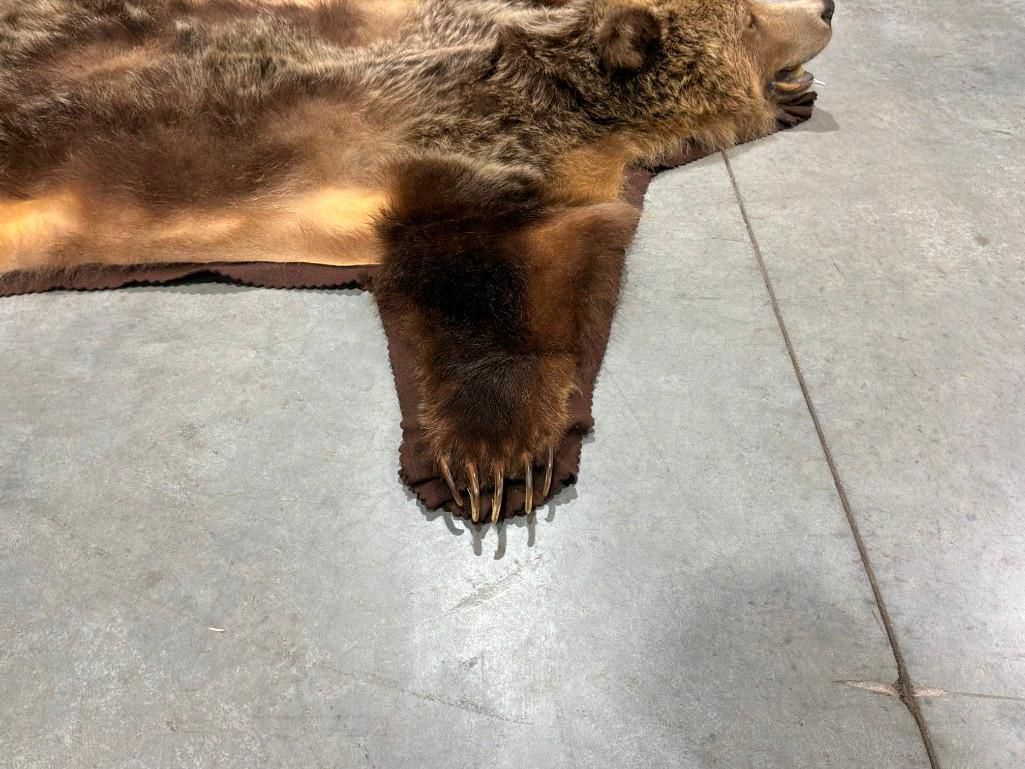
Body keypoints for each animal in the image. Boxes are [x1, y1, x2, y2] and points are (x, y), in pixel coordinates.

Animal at [0, 0, 833, 521]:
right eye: (749, 19)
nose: (825, 8)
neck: (579, 99)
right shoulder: (480, 146)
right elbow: (480, 271)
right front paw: (493, 460)